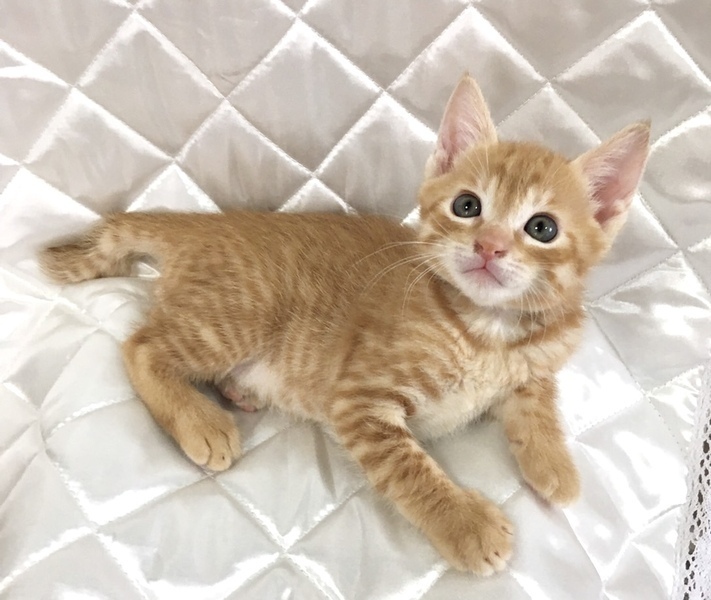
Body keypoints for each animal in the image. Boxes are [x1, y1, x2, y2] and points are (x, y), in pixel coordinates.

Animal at [39, 74, 650, 575]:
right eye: (467, 206)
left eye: (542, 227)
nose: (489, 246)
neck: (487, 330)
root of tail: (209, 224)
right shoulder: (360, 397)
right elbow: (410, 467)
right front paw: (466, 524)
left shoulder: (539, 358)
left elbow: (537, 402)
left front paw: (553, 463)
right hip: (239, 314)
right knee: (141, 347)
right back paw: (200, 420)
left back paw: (240, 389)